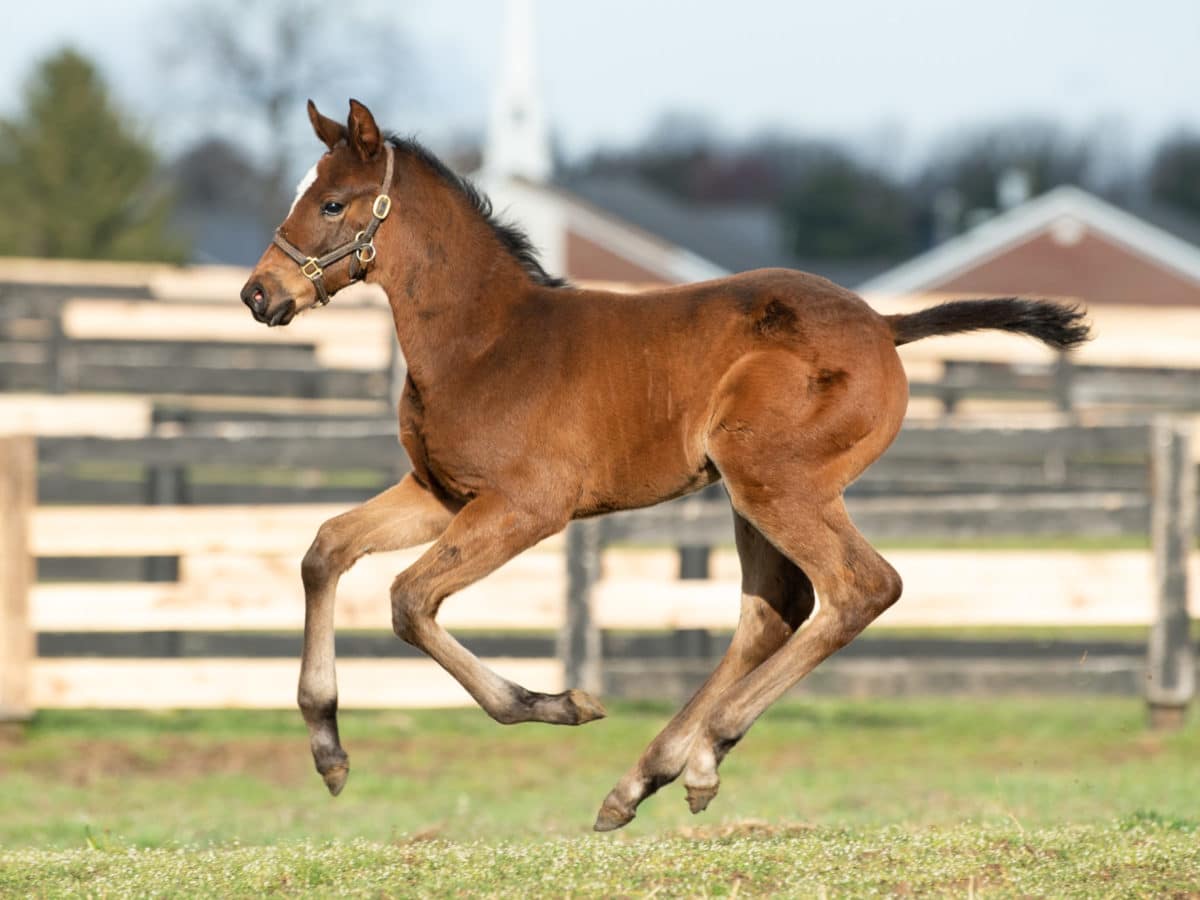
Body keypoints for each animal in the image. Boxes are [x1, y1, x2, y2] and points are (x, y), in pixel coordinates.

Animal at [238, 100, 1094, 830]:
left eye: (333, 204)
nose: (257, 294)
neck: (484, 342)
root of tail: (883, 325)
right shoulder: (441, 494)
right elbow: (325, 549)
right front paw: (328, 751)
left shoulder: (526, 507)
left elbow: (409, 601)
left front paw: (554, 703)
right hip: (756, 493)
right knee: (774, 610)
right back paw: (646, 778)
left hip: (773, 480)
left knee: (859, 588)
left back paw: (704, 751)